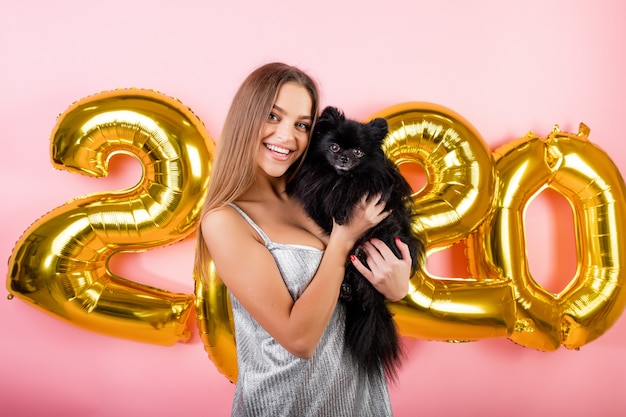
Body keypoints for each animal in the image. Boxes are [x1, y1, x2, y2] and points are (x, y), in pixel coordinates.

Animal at [286, 105, 422, 378]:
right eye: (334, 147)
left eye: (358, 152)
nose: (344, 158)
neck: (340, 178)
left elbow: (351, 192)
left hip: (390, 238)